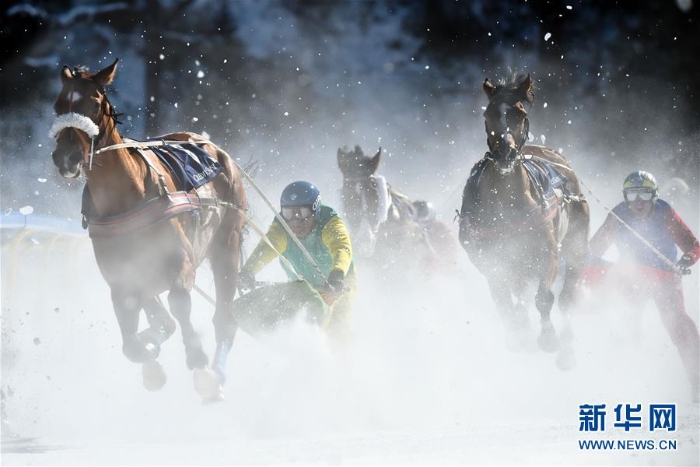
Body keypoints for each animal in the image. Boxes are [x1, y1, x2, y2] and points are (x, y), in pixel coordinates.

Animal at [47, 59, 247, 402]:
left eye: (94, 103)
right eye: (59, 105)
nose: (66, 157)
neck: (127, 196)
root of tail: (210, 146)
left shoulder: (180, 262)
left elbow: (179, 303)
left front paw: (199, 365)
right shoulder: (122, 276)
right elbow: (134, 334)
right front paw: (149, 357)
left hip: (227, 244)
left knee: (224, 319)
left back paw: (216, 374)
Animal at [460, 74, 592, 370]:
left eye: (520, 113)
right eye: (488, 114)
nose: (505, 154)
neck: (506, 204)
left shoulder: (547, 253)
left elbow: (544, 298)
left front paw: (548, 338)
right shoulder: (491, 261)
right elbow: (504, 303)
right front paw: (518, 333)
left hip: (576, 244)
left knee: (567, 298)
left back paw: (566, 349)